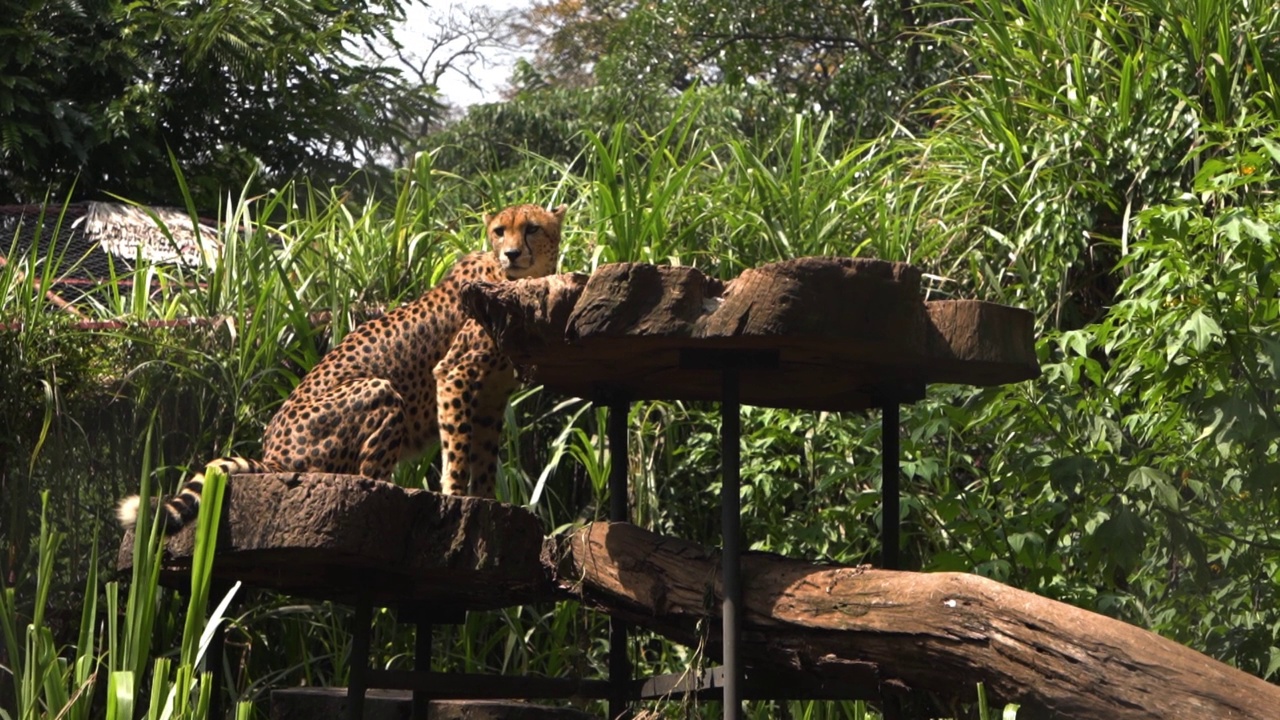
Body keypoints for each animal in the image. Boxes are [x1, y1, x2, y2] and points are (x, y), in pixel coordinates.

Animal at [117, 204, 568, 530]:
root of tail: (273, 455)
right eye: (500, 231)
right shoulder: (455, 374)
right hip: (380, 390)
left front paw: (488, 502)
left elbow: (485, 455)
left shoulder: (492, 396)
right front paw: (457, 497)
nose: (511, 253)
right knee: (366, 478)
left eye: (531, 228)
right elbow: (457, 446)